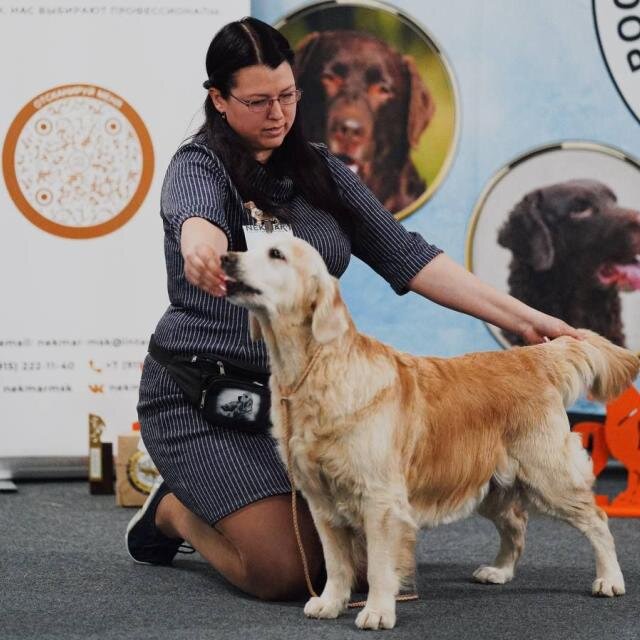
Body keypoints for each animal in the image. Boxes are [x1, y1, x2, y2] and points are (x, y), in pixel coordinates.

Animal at [221, 236, 640, 632]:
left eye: (276, 254)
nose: (224, 257)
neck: (315, 369)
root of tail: (532, 357)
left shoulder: (381, 501)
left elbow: (378, 566)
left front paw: (377, 612)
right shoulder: (320, 501)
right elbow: (337, 562)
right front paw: (330, 602)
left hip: (549, 476)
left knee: (597, 519)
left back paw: (609, 579)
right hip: (488, 484)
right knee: (516, 523)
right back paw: (500, 570)